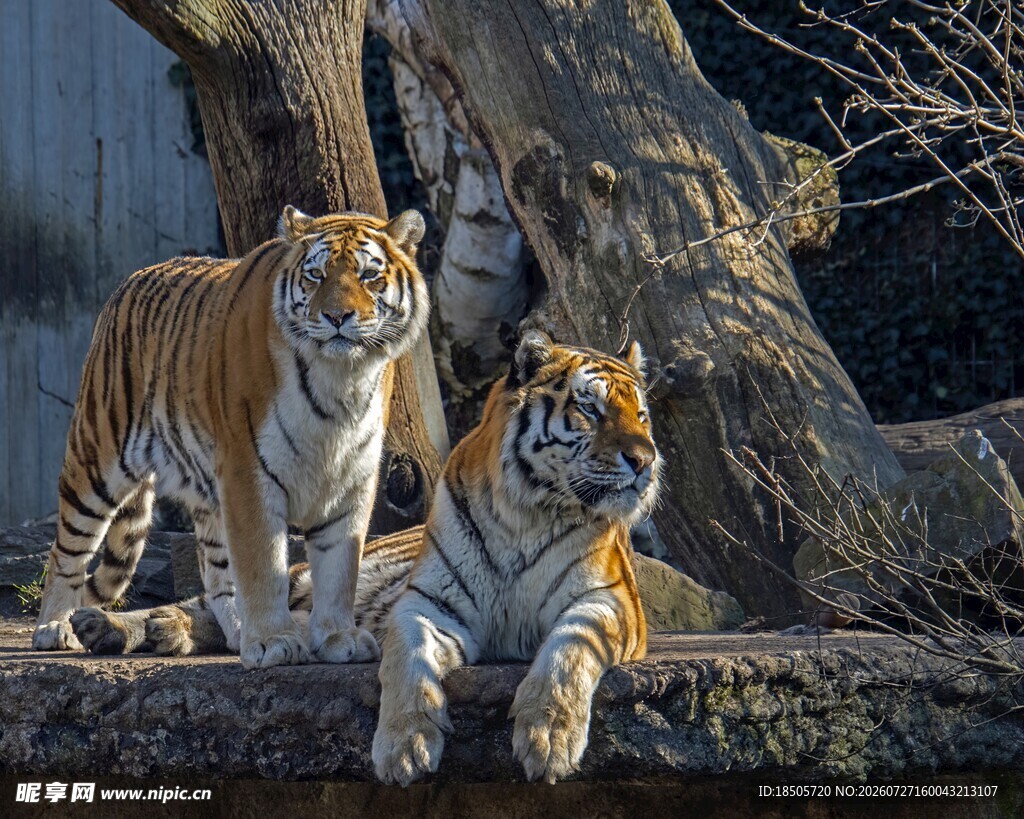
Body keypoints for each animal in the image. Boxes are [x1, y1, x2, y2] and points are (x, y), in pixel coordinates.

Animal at [32, 205, 429, 670]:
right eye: (316, 275)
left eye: (369, 275)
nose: (336, 317)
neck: (340, 379)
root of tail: (130, 281)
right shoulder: (248, 471)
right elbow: (263, 564)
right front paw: (275, 642)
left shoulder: (352, 478)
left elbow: (338, 569)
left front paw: (337, 638)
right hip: (98, 457)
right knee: (67, 550)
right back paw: (55, 626)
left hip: (207, 489)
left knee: (216, 573)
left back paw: (236, 632)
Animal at [73, 331, 659, 784]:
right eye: (590, 409)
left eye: (643, 416)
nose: (646, 460)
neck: (529, 511)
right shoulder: (427, 604)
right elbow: (406, 663)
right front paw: (403, 746)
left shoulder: (608, 602)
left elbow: (567, 653)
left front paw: (547, 737)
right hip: (302, 577)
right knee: (229, 608)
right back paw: (108, 625)